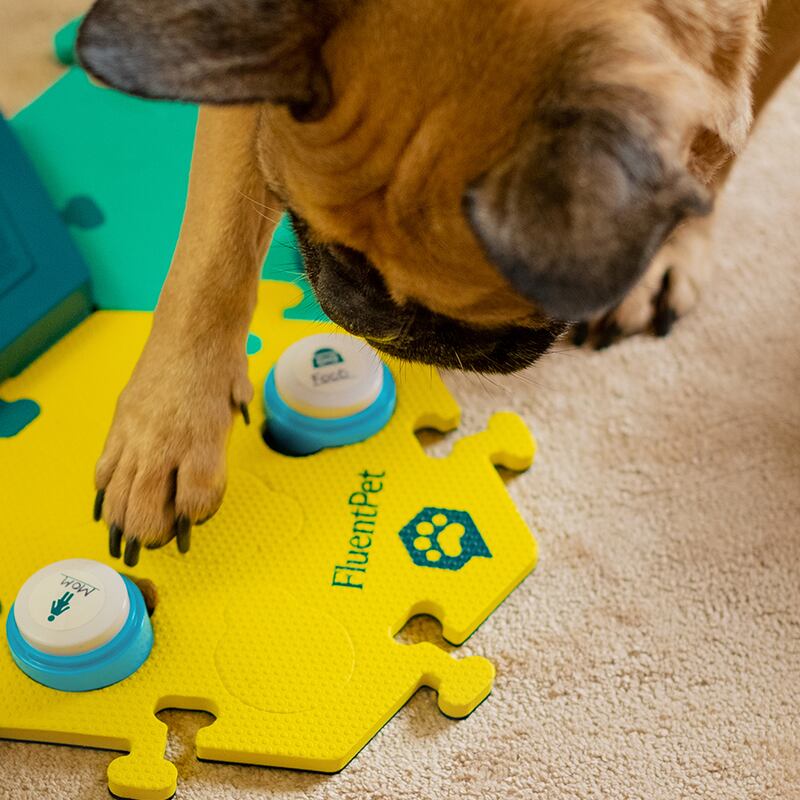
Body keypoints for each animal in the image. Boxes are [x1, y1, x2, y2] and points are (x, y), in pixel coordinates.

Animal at [76, 0, 800, 564]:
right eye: (304, 223)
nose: (369, 320)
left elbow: (723, 137)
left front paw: (670, 244)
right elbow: (212, 250)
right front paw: (165, 432)